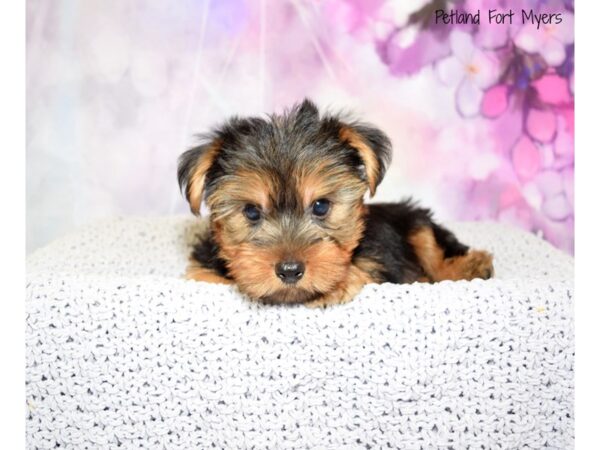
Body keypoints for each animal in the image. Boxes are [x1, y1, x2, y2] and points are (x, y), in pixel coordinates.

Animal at [177, 100, 492, 308]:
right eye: (251, 212)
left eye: (321, 206)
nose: (290, 270)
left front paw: (333, 286)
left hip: (414, 220)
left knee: (433, 247)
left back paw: (471, 266)